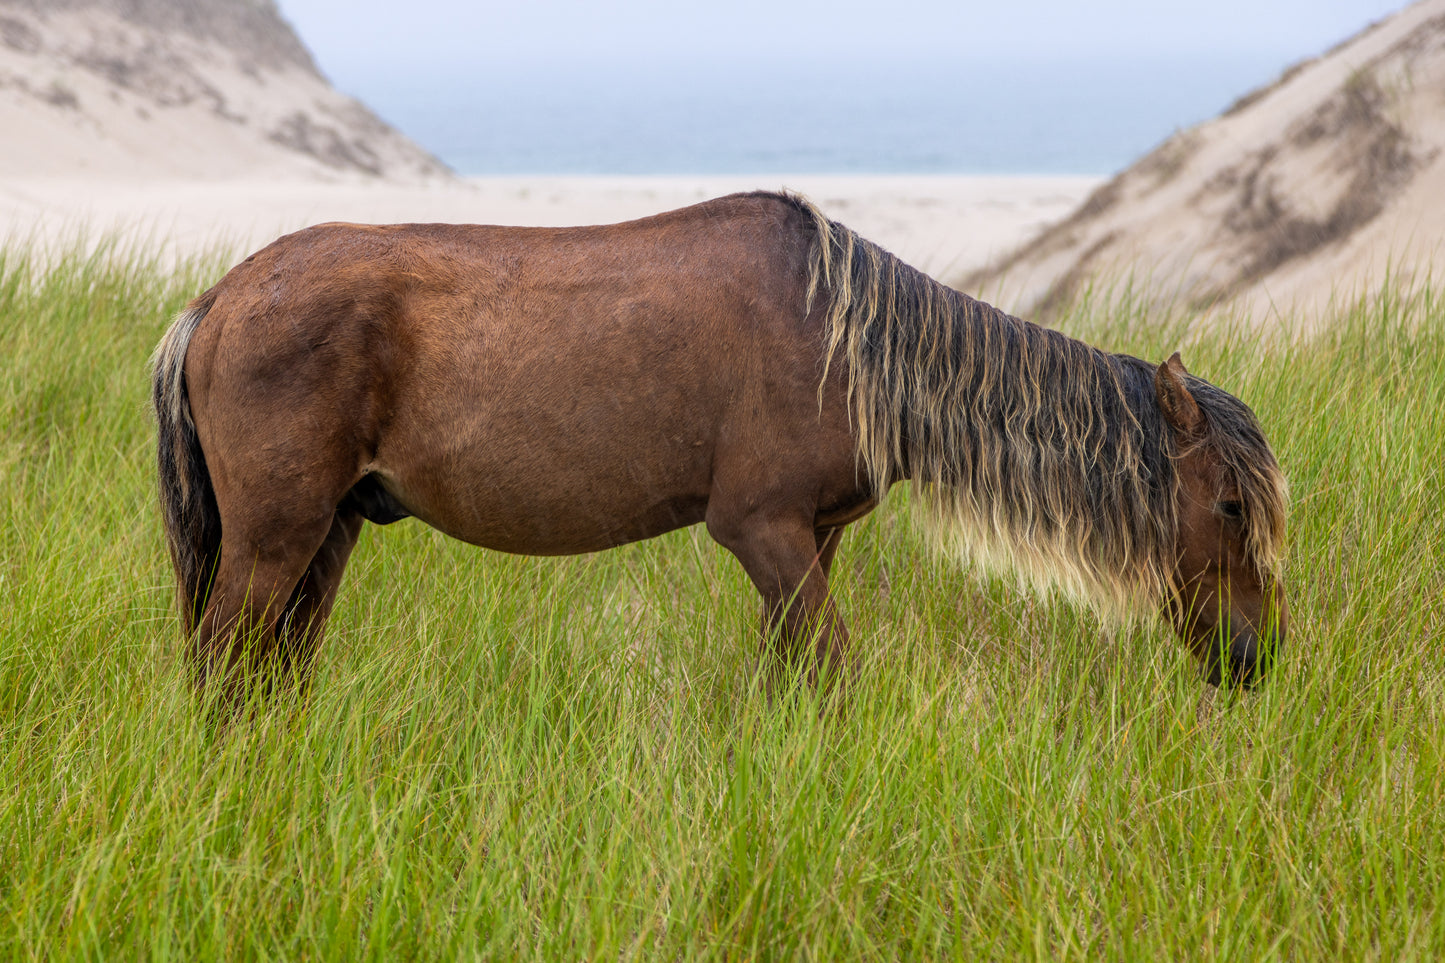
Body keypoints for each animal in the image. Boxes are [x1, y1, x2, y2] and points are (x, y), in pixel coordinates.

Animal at [152, 187, 1294, 702]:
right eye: (1230, 505)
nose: (1257, 658)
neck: (849, 344)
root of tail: (218, 299)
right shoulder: (759, 529)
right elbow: (832, 672)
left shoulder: (810, 537)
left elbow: (791, 674)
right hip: (275, 537)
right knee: (218, 665)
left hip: (330, 534)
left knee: (271, 671)